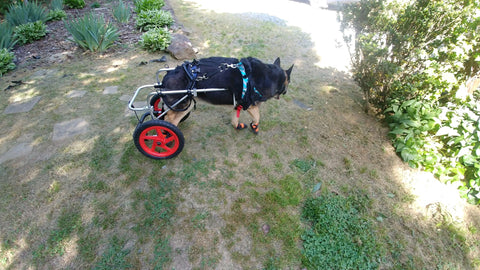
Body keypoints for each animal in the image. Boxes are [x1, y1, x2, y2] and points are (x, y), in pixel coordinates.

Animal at [160, 56, 292, 133]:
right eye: (289, 82)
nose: (285, 92)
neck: (271, 76)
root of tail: (167, 76)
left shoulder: (238, 105)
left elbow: (235, 120)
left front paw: (238, 126)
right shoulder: (251, 106)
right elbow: (257, 118)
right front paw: (254, 126)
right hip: (184, 105)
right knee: (168, 120)